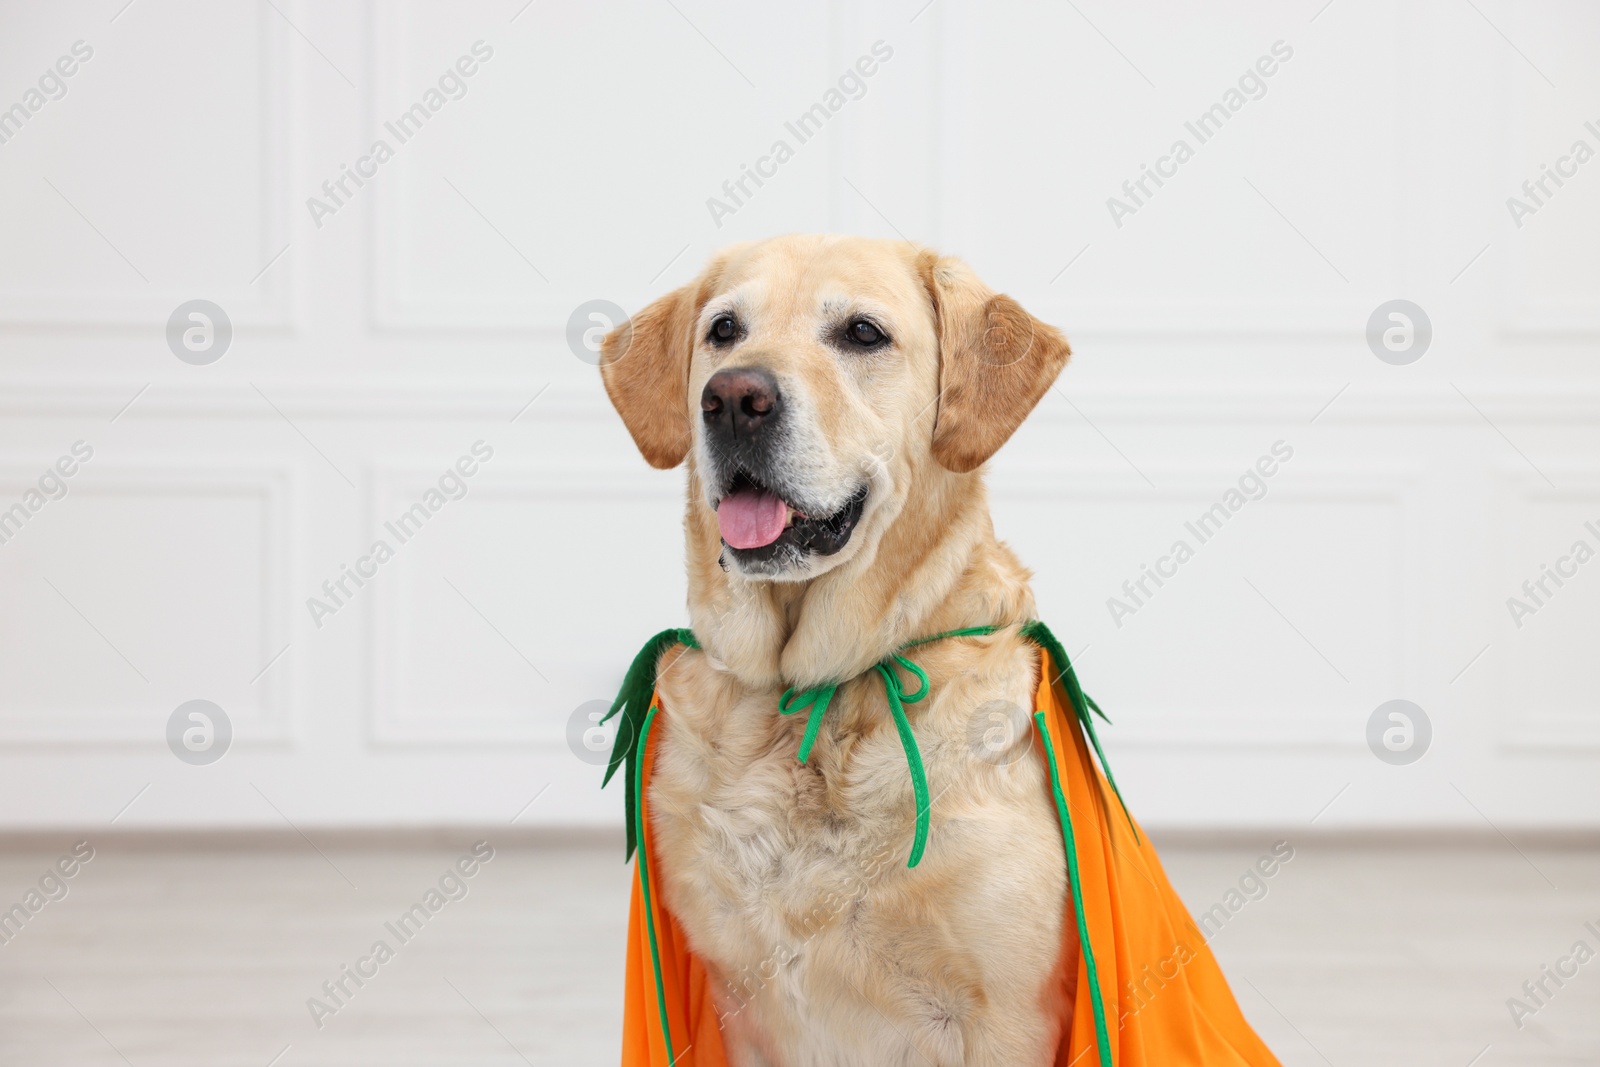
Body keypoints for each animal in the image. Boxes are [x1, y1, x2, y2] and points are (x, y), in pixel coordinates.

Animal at [604, 238, 1081, 1062]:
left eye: (862, 333)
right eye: (723, 330)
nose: (734, 398)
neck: (810, 697)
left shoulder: (1005, 1018)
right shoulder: (737, 1000)